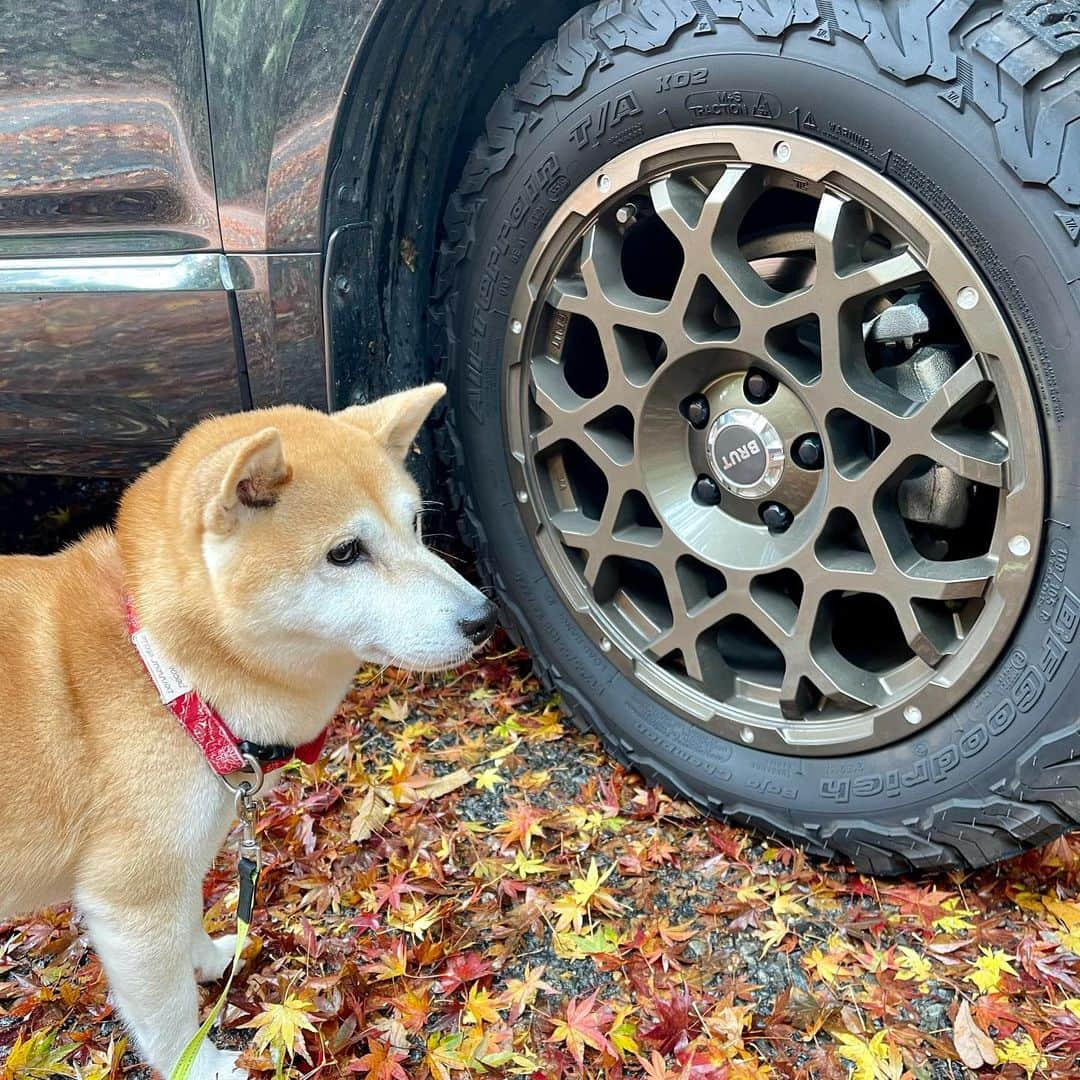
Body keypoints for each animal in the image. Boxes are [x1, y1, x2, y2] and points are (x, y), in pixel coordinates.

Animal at [0, 384, 494, 1075]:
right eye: (346, 552)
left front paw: (208, 959)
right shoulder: (130, 902)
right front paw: (200, 1063)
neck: (165, 670)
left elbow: (187, 922)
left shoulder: (184, 860)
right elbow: (167, 1016)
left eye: (417, 525)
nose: (485, 618)